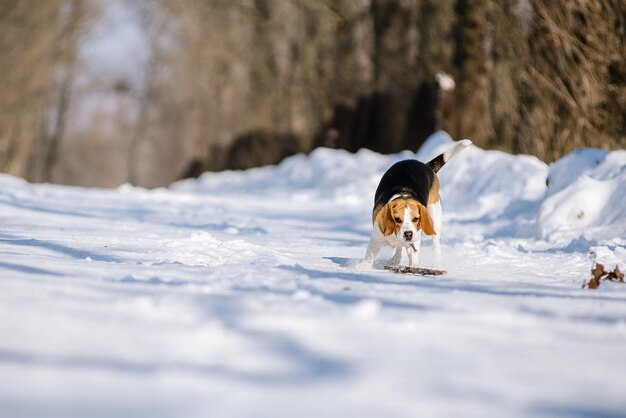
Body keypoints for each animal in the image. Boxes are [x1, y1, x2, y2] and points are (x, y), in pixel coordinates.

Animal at [358, 139, 470, 270]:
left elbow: (414, 255)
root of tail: (426, 165)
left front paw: (415, 267)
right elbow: (369, 254)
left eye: (416, 219)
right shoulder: (376, 238)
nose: (408, 234)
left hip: (435, 215)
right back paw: (396, 258)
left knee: (435, 243)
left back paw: (438, 264)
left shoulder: (414, 241)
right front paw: (362, 267)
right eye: (397, 219)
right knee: (400, 247)